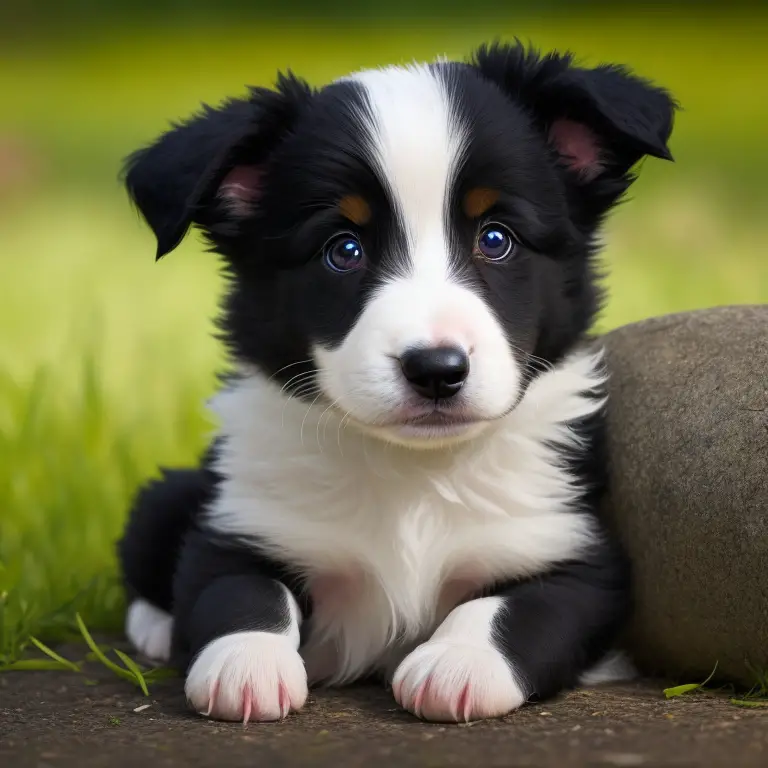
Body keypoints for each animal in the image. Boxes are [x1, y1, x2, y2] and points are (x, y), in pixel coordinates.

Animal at [117, 42, 676, 724]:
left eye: (496, 238)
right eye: (343, 249)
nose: (436, 369)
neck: (415, 474)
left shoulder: (574, 548)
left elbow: (514, 609)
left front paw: (457, 664)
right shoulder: (241, 519)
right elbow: (237, 588)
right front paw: (245, 664)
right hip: (172, 493)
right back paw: (155, 629)